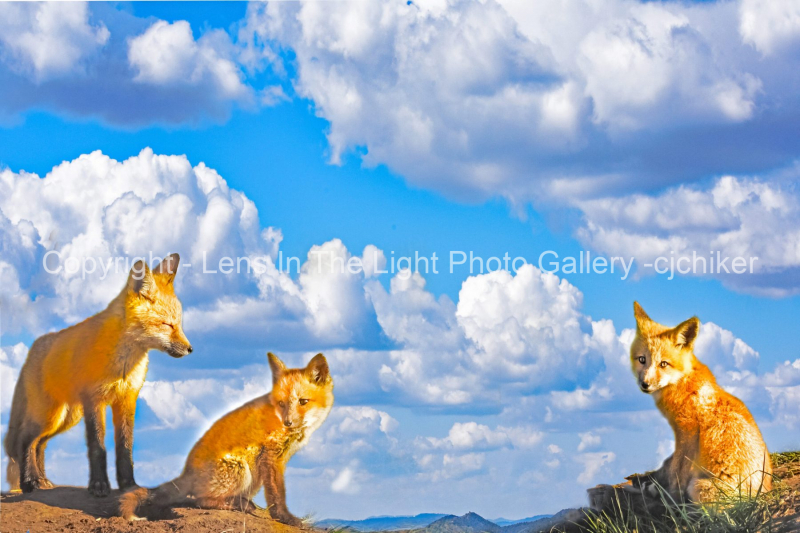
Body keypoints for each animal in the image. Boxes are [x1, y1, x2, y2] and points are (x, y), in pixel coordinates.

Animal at [4, 253, 192, 497]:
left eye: (179, 324)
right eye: (167, 325)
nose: (190, 349)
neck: (123, 365)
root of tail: (33, 349)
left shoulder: (127, 400)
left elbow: (125, 448)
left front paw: (129, 485)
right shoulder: (94, 400)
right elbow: (97, 447)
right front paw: (99, 486)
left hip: (65, 418)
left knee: (40, 444)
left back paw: (42, 480)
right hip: (48, 416)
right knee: (25, 440)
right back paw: (29, 483)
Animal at [119, 352, 334, 526]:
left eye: (303, 402)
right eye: (281, 403)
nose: (287, 422)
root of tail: (186, 472)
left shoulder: (276, 458)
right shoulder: (271, 456)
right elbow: (277, 495)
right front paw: (285, 518)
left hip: (253, 476)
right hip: (242, 470)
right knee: (200, 500)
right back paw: (235, 505)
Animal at [622, 302, 772, 503]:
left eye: (663, 364)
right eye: (642, 360)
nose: (645, 384)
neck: (682, 383)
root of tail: (763, 493)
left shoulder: (688, 432)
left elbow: (677, 471)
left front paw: (671, 496)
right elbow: (671, 467)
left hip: (698, 487)